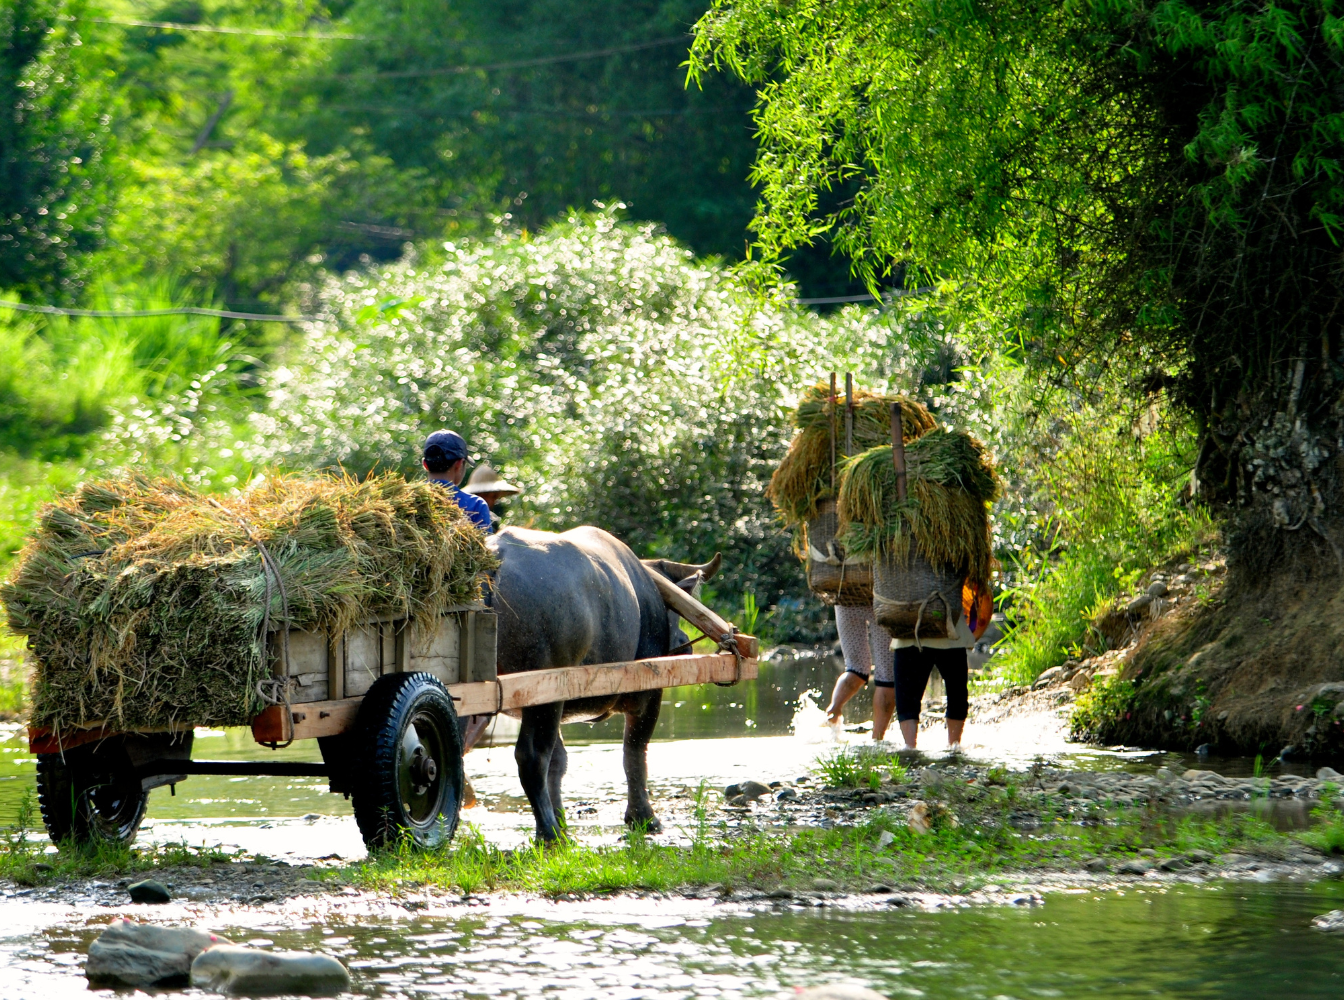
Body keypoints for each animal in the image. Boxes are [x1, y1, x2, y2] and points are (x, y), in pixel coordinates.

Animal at [486, 524, 720, 844]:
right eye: (673, 613)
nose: (685, 644)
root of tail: (495, 557)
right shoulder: (647, 694)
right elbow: (634, 752)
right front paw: (643, 817)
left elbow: (559, 762)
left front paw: (562, 817)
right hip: (544, 697)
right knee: (532, 756)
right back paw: (549, 833)